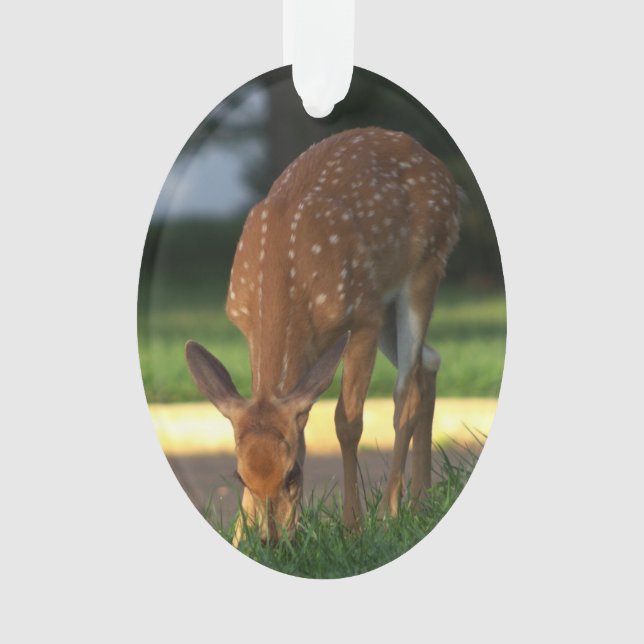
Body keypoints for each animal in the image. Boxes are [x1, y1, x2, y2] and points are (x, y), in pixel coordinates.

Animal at [185, 126, 462, 544]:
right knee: (430, 362)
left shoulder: (362, 316)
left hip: (424, 269)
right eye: (239, 476)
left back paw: (390, 512)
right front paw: (237, 535)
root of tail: (443, 172)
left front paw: (353, 527)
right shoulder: (248, 327)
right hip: (388, 303)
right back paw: (420, 501)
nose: (271, 540)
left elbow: (347, 423)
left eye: (293, 474)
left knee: (406, 392)